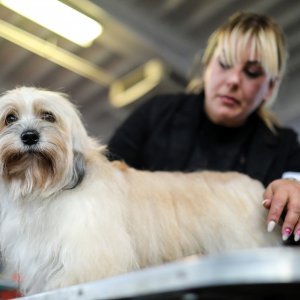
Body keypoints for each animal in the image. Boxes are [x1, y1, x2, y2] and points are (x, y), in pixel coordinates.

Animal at [0, 86, 280, 296]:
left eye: (48, 116)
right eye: (10, 118)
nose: (29, 136)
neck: (44, 187)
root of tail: (252, 185)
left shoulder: (91, 247)